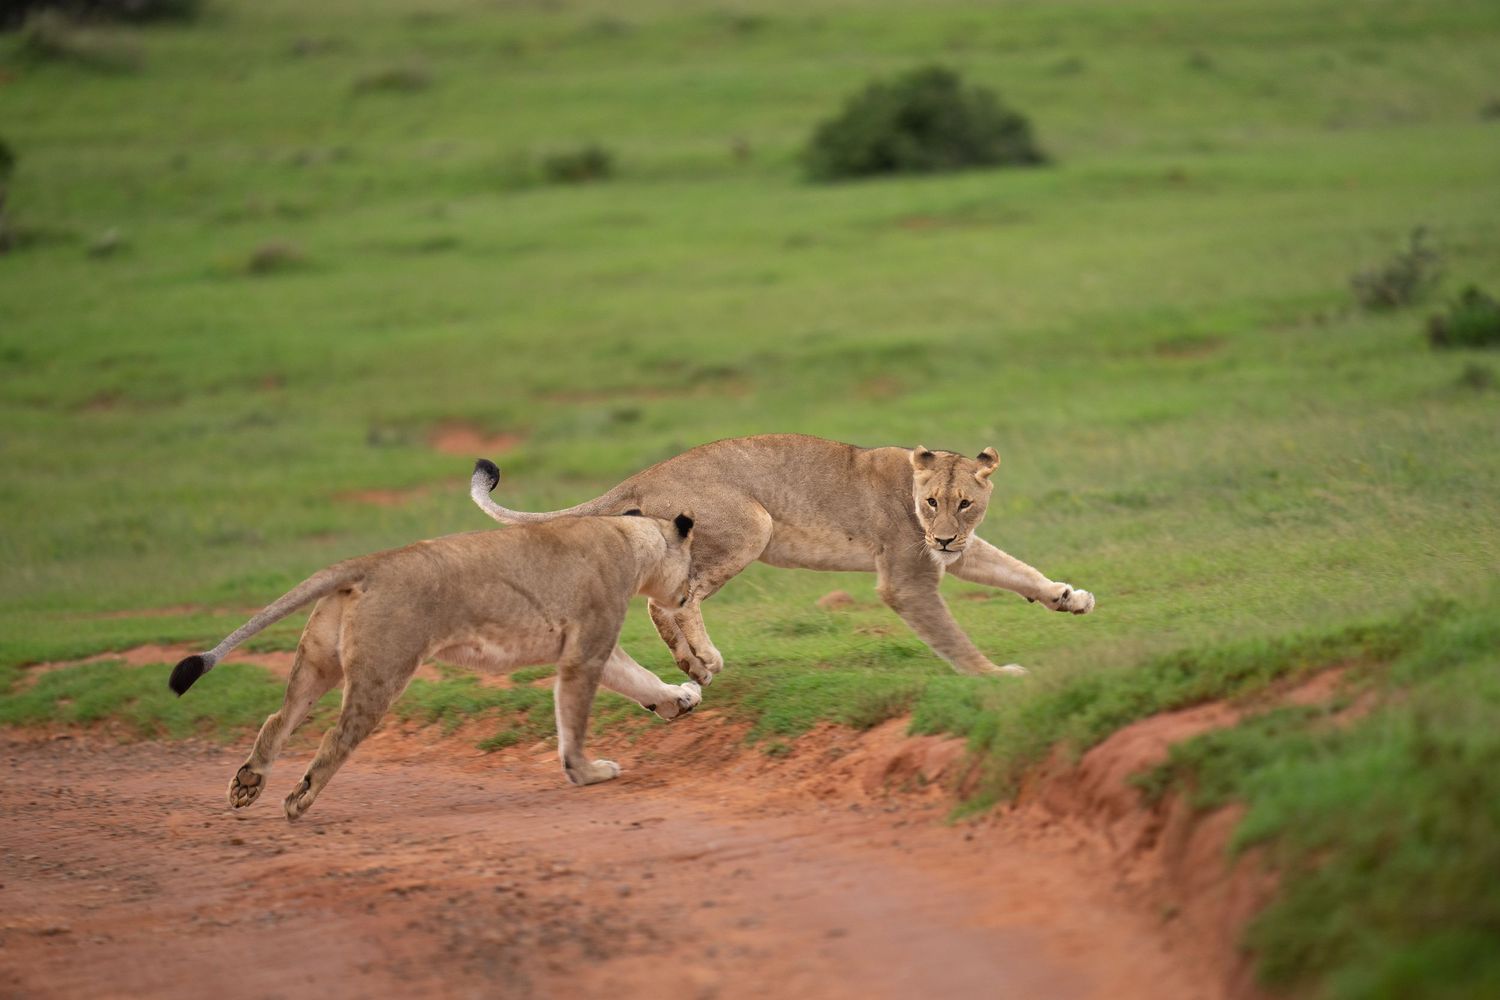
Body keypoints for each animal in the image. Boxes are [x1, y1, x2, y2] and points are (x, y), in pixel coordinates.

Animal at [167, 512, 699, 820]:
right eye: (693, 563)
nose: (691, 590)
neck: (631, 537)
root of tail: (371, 561)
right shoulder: (585, 650)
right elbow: (575, 723)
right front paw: (588, 772)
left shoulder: (592, 647)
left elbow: (638, 678)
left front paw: (679, 699)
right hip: (385, 668)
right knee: (335, 737)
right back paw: (299, 800)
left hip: (320, 662)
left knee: (279, 718)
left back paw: (247, 783)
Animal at [470, 434, 1095, 683]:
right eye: (931, 502)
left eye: (965, 503)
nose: (943, 538)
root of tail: (646, 473)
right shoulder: (907, 576)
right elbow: (952, 635)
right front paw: (994, 676)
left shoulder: (957, 554)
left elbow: (1013, 568)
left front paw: (1069, 596)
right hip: (752, 525)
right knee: (680, 599)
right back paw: (706, 658)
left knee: (657, 604)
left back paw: (692, 667)